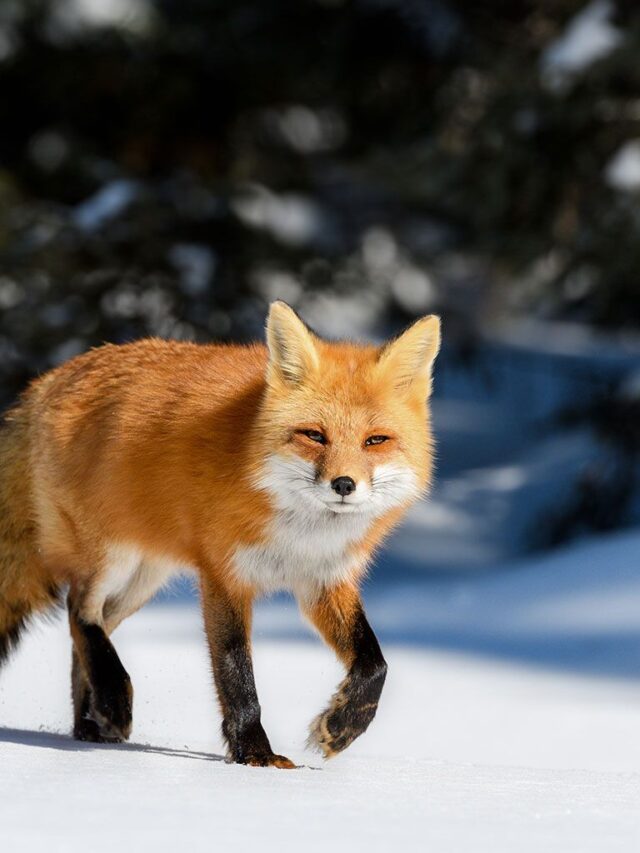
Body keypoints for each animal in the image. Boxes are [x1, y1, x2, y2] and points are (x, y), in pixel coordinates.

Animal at [0, 302, 440, 764]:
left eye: (376, 440)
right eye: (314, 435)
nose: (343, 484)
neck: (298, 535)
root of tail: (49, 379)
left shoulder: (324, 581)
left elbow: (375, 664)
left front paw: (341, 727)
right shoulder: (224, 575)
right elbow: (236, 673)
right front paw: (255, 756)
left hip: (143, 579)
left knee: (85, 634)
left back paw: (89, 725)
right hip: (110, 558)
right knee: (78, 612)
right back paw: (113, 701)